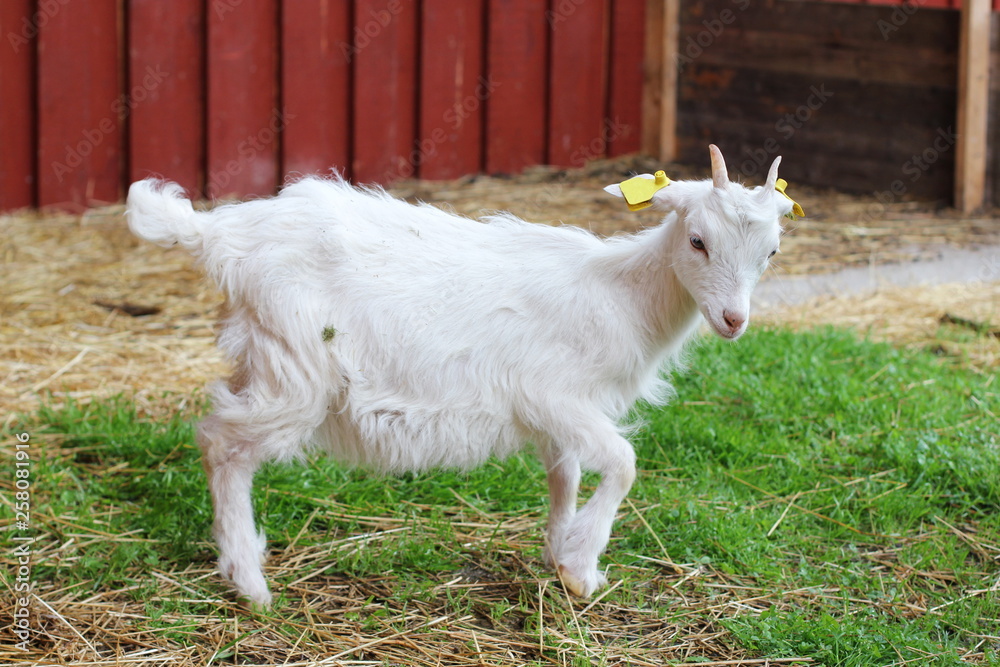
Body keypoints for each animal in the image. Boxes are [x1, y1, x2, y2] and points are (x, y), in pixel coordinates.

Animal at [126, 144, 793, 607]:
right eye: (698, 240)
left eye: (772, 252)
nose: (733, 320)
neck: (622, 294)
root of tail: (217, 235)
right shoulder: (553, 395)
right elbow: (623, 465)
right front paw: (581, 570)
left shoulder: (559, 414)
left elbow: (565, 476)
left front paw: (557, 554)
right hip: (296, 368)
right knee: (223, 445)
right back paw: (249, 582)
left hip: (266, 357)